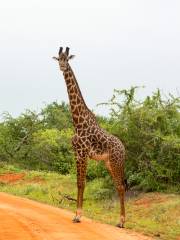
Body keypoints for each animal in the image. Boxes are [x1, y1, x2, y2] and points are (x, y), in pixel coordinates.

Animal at [52, 46, 126, 227]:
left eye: (67, 59)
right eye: (58, 59)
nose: (62, 67)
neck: (77, 123)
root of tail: (123, 148)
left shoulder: (83, 153)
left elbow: (82, 183)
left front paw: (78, 216)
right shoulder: (77, 153)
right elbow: (79, 183)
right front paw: (76, 215)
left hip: (116, 162)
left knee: (121, 186)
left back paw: (121, 222)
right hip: (109, 163)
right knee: (118, 186)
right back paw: (121, 220)